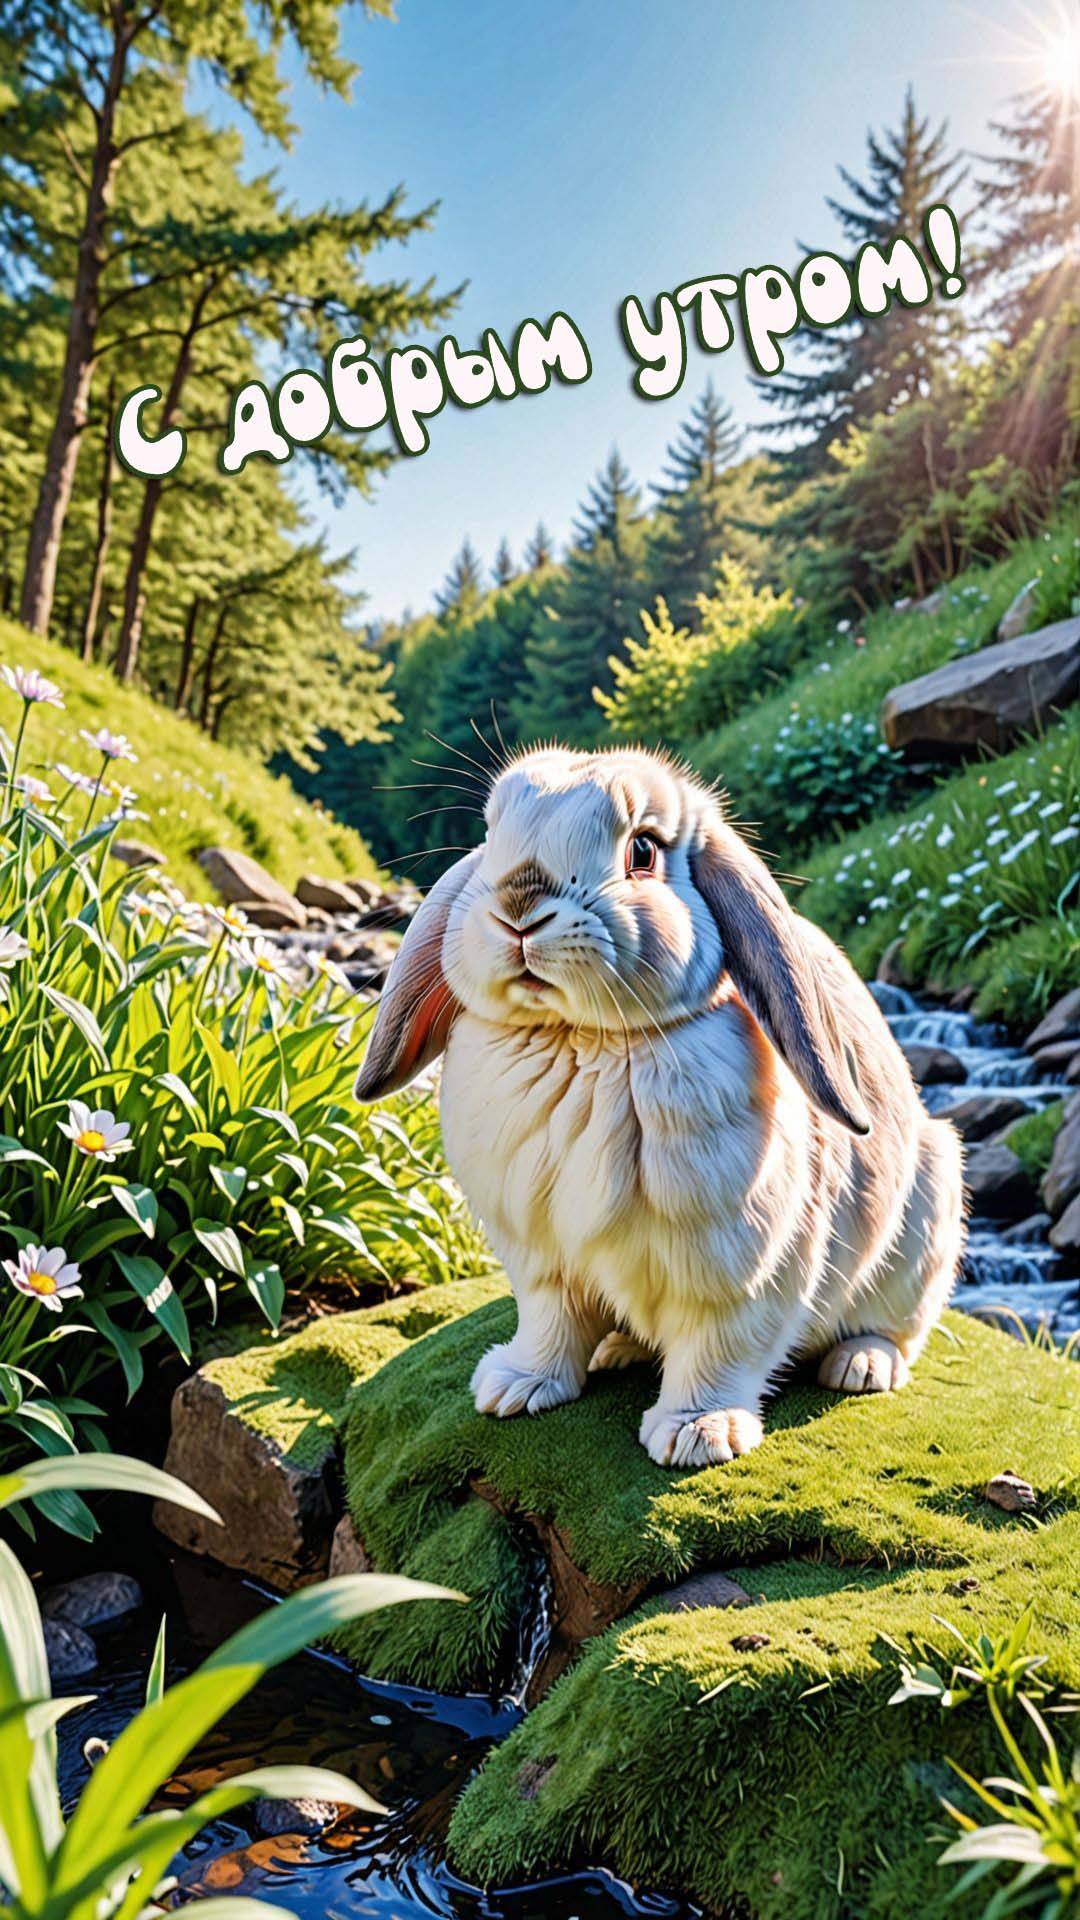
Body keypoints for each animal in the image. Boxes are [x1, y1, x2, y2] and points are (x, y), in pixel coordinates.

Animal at [355, 746, 964, 1468]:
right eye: (491, 831)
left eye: (642, 850)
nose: (518, 910)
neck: (584, 1040)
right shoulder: (544, 1263)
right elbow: (549, 1323)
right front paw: (515, 1389)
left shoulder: (741, 1274)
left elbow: (721, 1346)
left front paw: (697, 1434)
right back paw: (617, 1348)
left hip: (926, 1228)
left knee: (894, 1329)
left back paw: (861, 1367)